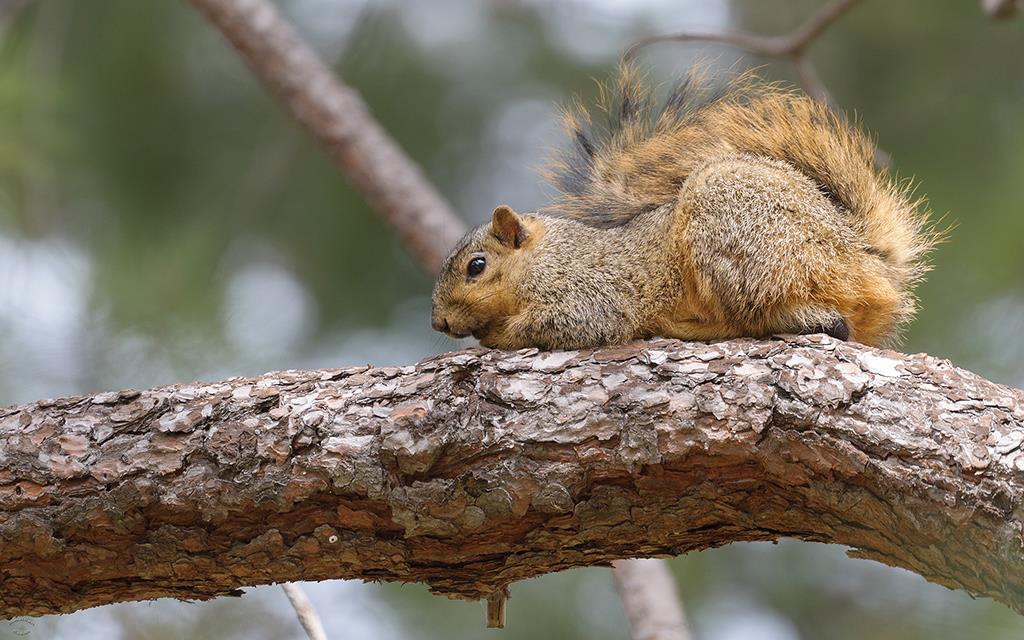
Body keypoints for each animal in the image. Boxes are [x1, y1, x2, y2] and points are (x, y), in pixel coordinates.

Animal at [430, 65, 937, 350]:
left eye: (476, 266)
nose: (439, 323)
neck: (545, 259)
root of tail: (865, 258)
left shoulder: (591, 294)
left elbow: (573, 323)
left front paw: (494, 336)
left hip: (738, 234)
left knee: (809, 321)